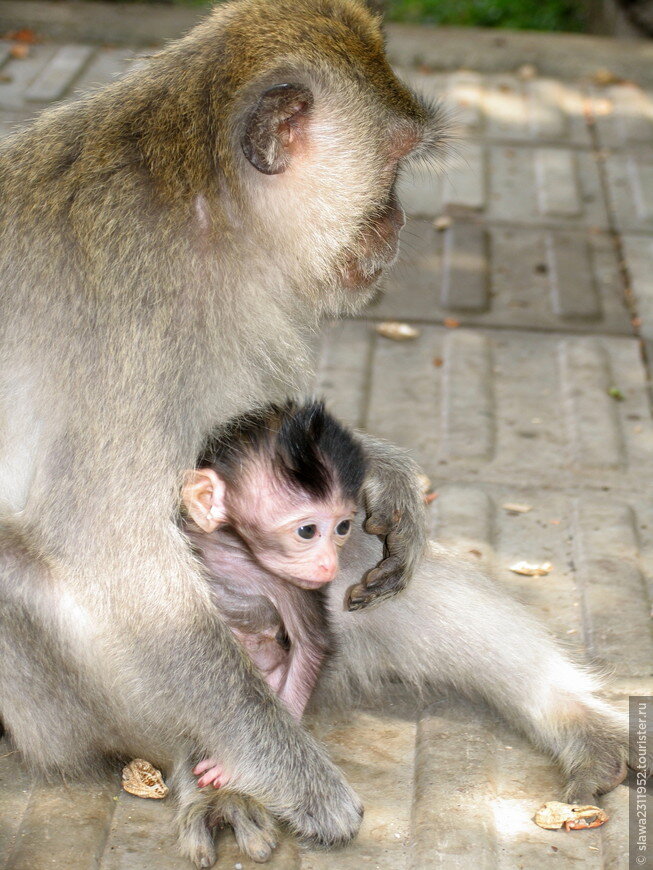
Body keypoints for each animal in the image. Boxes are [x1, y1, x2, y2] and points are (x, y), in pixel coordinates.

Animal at [181, 402, 366, 792]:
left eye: (343, 527)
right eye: (308, 531)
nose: (329, 564)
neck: (233, 552)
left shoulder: (292, 587)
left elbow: (311, 646)